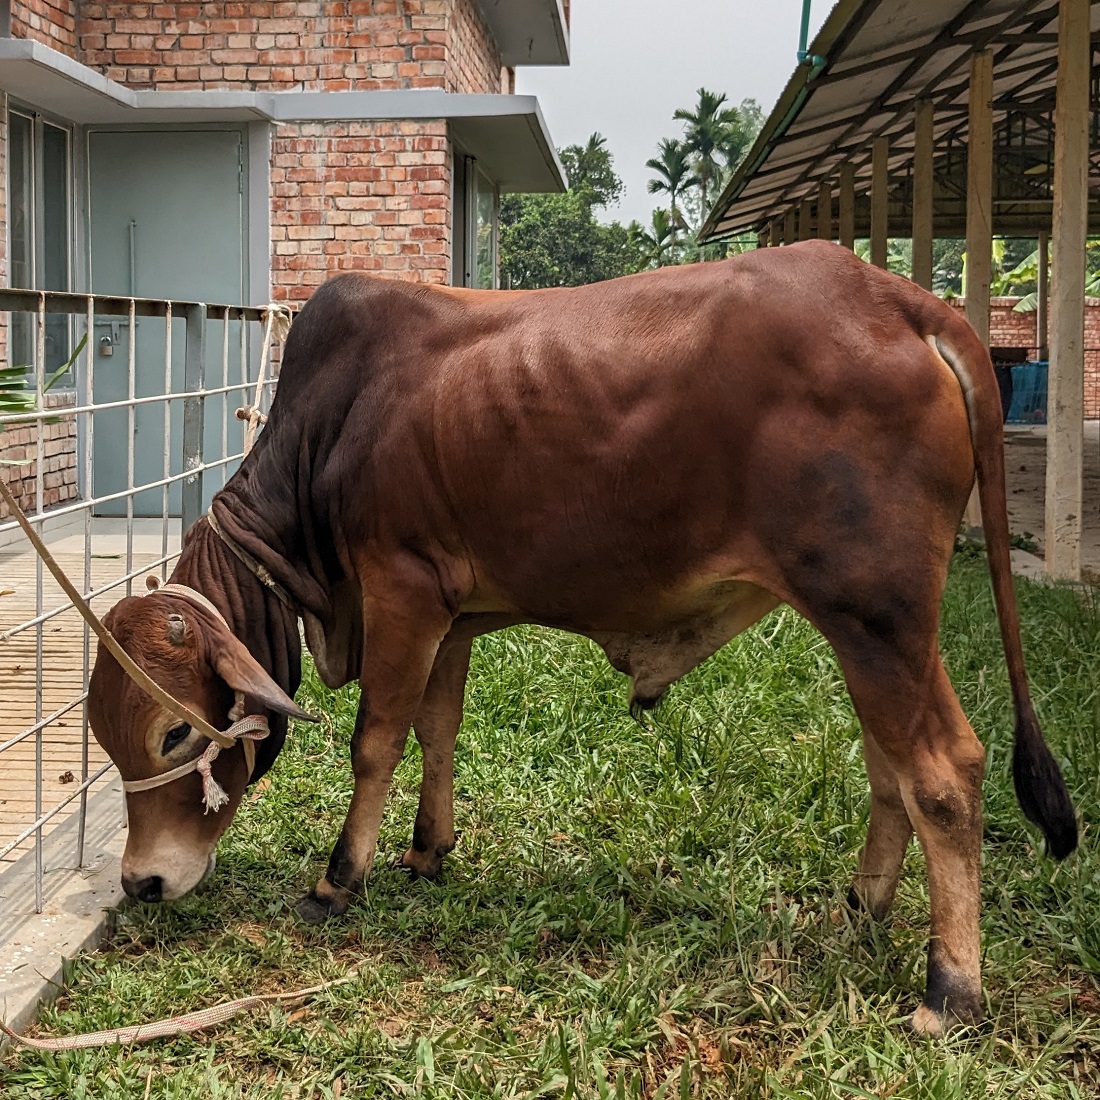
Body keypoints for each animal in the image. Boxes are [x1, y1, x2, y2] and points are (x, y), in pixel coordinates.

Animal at [88, 238, 1073, 1029]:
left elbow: (377, 739)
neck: (327, 435)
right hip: (868, 630)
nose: (141, 882)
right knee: (889, 768)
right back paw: (860, 910)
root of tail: (905, 303)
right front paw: (427, 851)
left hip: (877, 616)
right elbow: (437, 730)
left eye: (172, 733)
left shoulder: (400, 589)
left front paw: (340, 877)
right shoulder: (452, 613)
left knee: (944, 772)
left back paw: (950, 987)